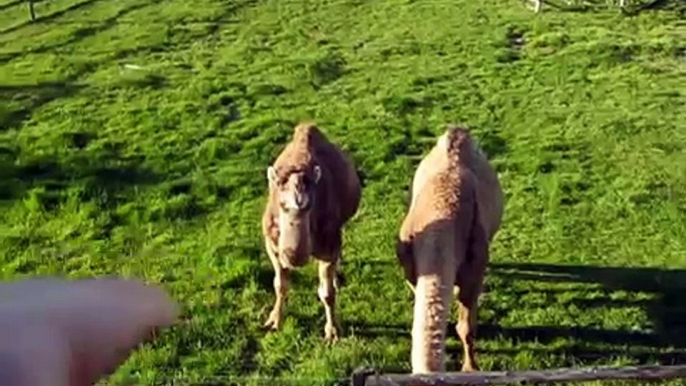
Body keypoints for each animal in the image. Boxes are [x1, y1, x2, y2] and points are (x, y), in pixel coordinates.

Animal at [260, 122, 362, 342]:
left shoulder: (329, 244)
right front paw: (274, 321)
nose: (293, 255)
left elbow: (327, 293)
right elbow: (280, 284)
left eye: (310, 205)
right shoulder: (271, 244)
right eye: (281, 205)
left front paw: (332, 332)